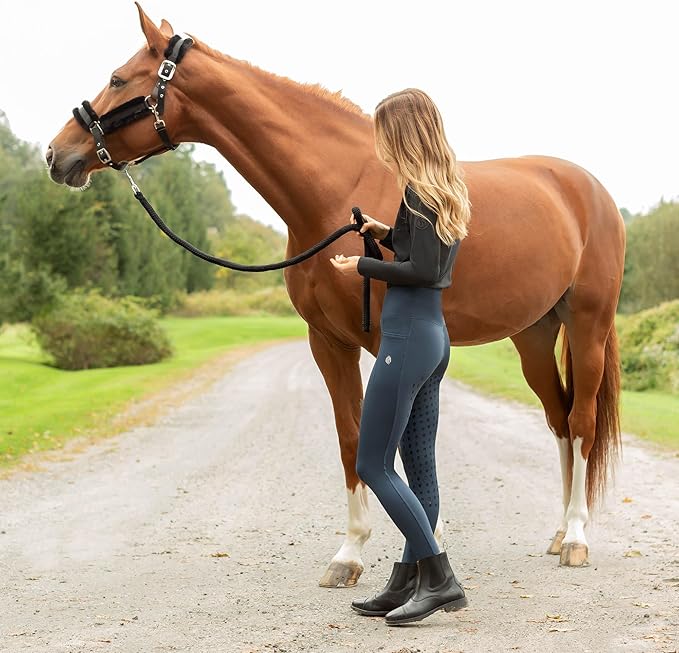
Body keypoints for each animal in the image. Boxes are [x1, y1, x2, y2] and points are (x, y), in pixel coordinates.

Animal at [46, 2, 626, 583]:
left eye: (118, 79)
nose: (56, 154)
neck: (335, 188)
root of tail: (592, 191)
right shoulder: (328, 342)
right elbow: (351, 438)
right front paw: (350, 553)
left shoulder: (384, 344)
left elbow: (395, 441)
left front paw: (423, 544)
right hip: (534, 334)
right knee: (558, 419)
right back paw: (558, 532)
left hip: (588, 325)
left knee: (581, 421)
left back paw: (577, 538)